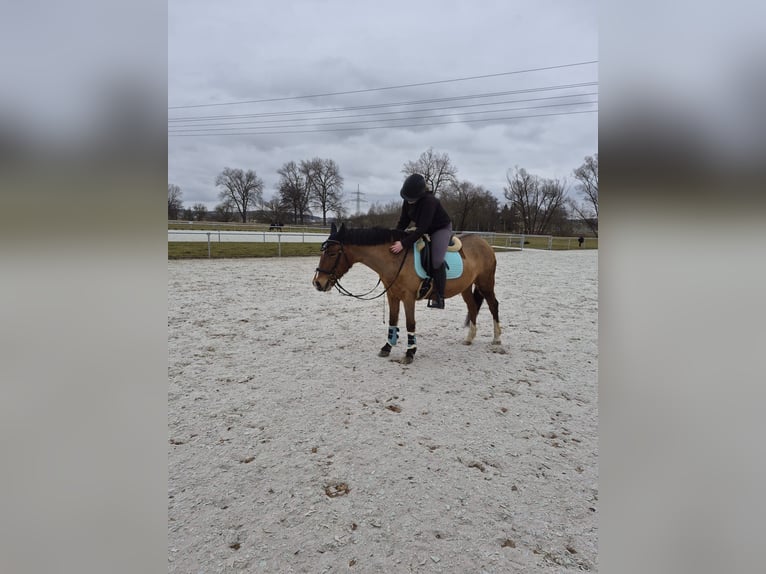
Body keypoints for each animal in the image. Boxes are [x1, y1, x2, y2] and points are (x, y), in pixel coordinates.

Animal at [312, 223, 502, 364]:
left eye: (332, 253)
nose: (318, 283)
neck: (395, 259)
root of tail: (484, 243)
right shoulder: (392, 296)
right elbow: (392, 320)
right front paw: (387, 347)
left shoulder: (408, 298)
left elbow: (410, 323)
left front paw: (410, 353)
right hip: (466, 287)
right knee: (472, 306)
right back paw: (470, 338)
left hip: (485, 283)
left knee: (493, 305)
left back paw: (497, 339)